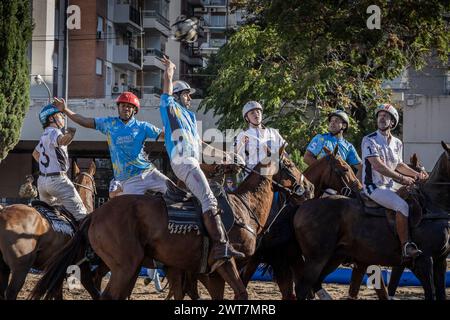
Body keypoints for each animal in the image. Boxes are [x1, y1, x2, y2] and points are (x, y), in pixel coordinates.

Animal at [31, 148, 314, 300]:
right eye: (290, 164)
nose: (310, 187)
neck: (244, 207)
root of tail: (95, 215)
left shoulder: (207, 273)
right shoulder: (225, 263)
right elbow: (241, 292)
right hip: (125, 265)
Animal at [294, 142, 450, 300]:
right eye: (345, 169)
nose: (358, 189)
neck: (433, 204)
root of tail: (303, 206)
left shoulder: (440, 260)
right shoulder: (423, 260)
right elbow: (427, 292)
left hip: (334, 256)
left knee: (315, 283)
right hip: (316, 258)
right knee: (303, 287)